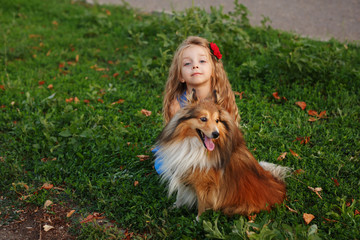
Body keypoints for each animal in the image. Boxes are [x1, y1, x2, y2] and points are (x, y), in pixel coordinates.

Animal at [154, 90, 290, 218]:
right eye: (203, 119)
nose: (216, 134)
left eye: (217, 120)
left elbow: (202, 204)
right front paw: (174, 207)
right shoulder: (184, 170)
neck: (193, 145)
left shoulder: (205, 185)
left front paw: (198, 220)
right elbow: (180, 195)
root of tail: (282, 190)